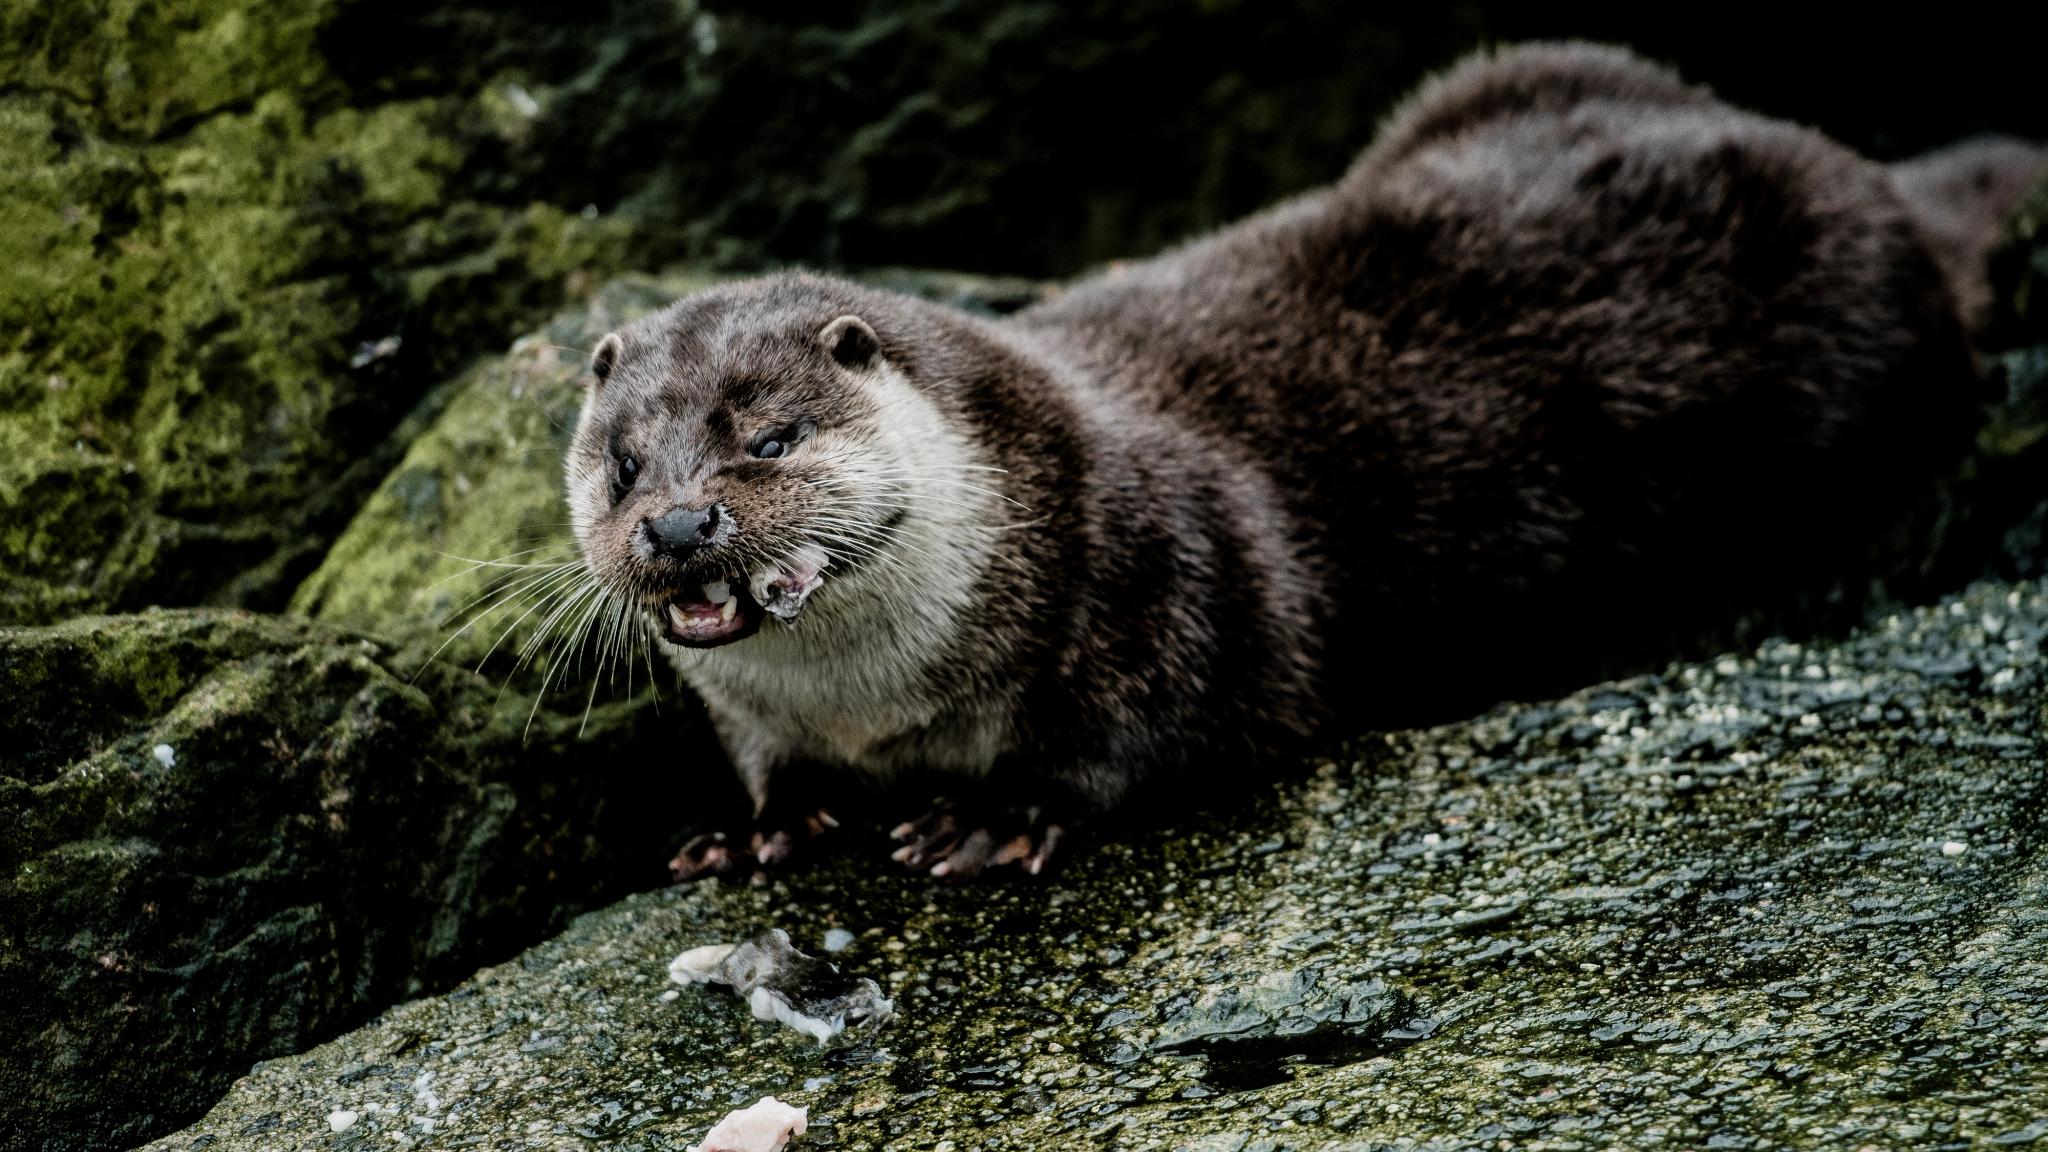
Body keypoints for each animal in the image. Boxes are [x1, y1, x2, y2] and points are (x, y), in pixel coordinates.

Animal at [566, 42, 2044, 880]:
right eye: (624, 465)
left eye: (769, 437)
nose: (682, 529)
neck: (880, 706)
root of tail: (1872, 184)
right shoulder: (768, 716)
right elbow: (765, 765)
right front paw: (755, 830)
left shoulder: (1169, 578)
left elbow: (1153, 738)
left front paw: (994, 820)